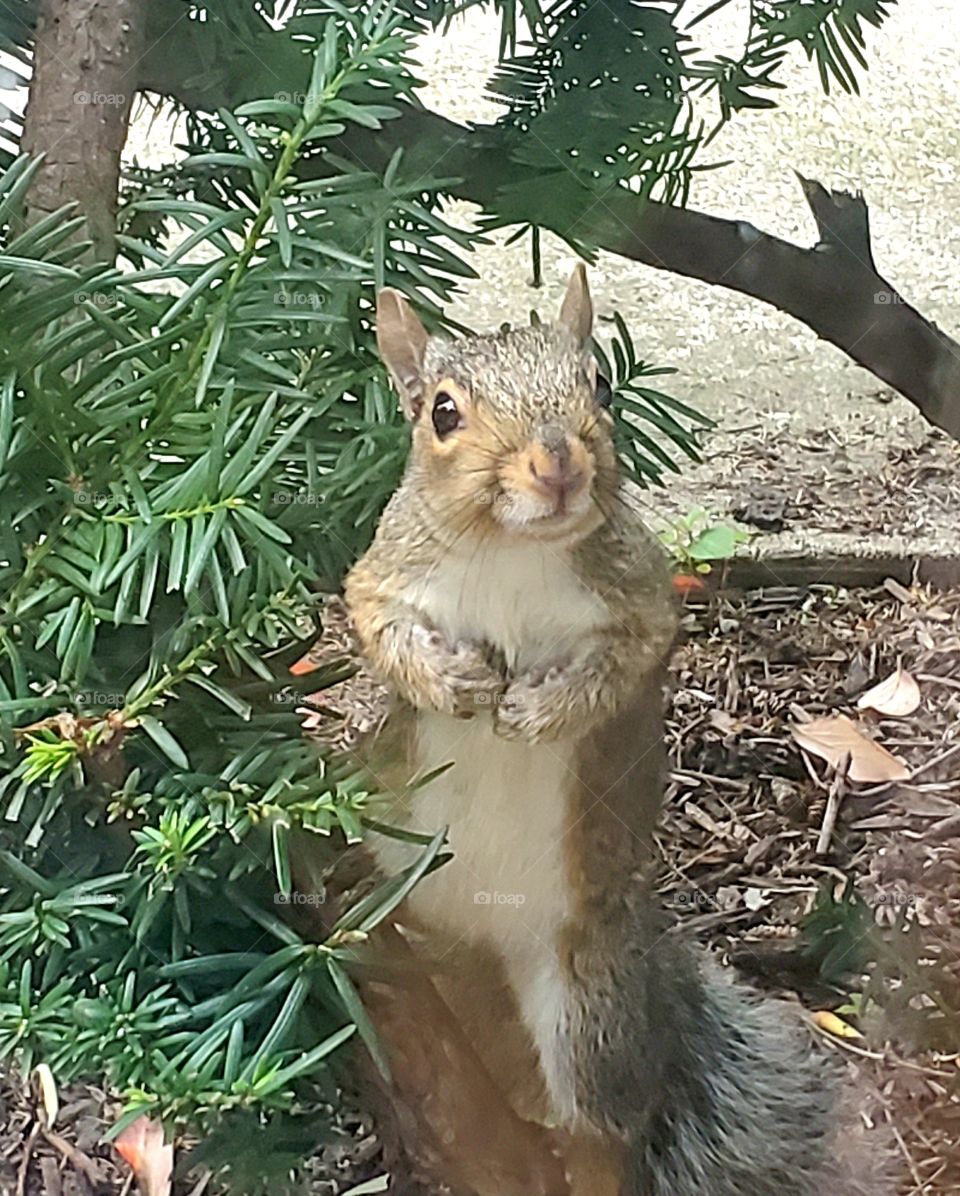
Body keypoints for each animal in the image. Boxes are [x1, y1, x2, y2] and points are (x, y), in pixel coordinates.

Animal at [343, 266, 895, 1196]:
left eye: (598, 385)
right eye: (442, 413)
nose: (557, 462)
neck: (511, 550)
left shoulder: (642, 604)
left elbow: (614, 670)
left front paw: (534, 710)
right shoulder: (386, 577)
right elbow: (381, 631)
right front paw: (456, 682)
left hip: (585, 1007)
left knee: (606, 1124)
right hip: (420, 936)